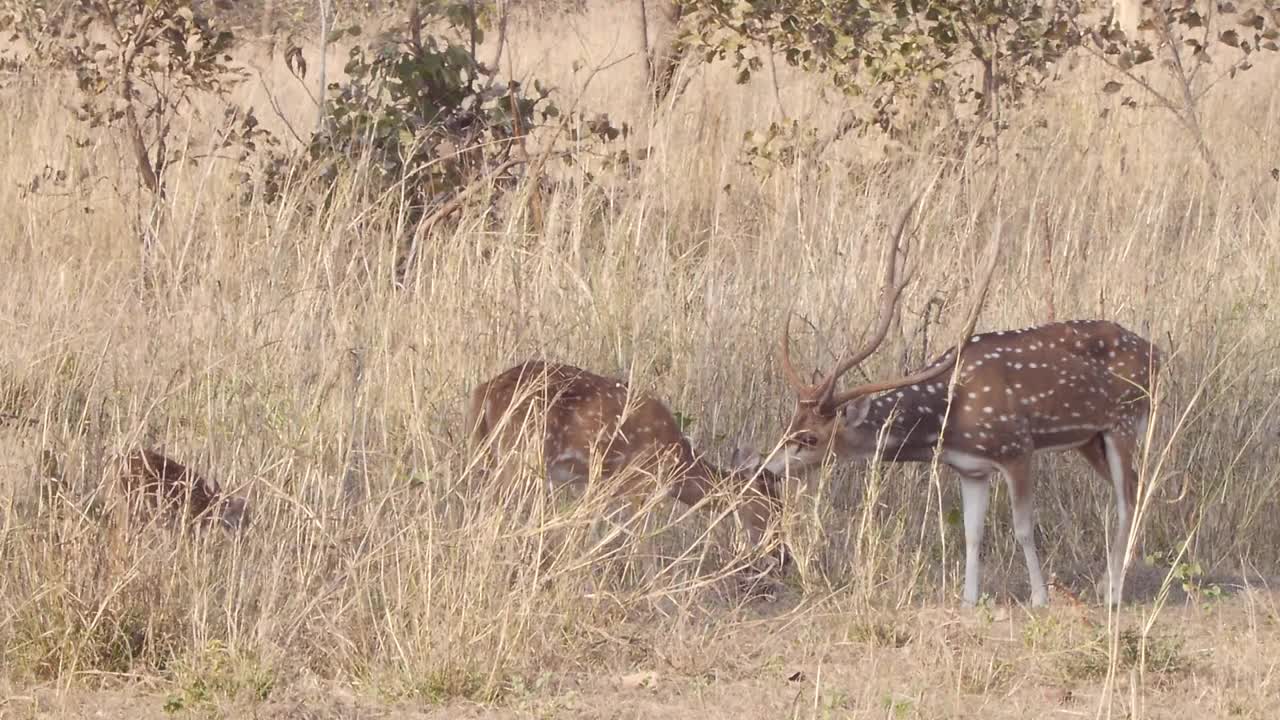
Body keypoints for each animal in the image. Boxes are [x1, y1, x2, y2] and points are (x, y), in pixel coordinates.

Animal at [465, 358, 783, 566]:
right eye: (770, 508)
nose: (782, 555)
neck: (679, 463)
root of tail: (483, 391)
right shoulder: (641, 483)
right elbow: (643, 548)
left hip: (495, 455)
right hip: (519, 455)